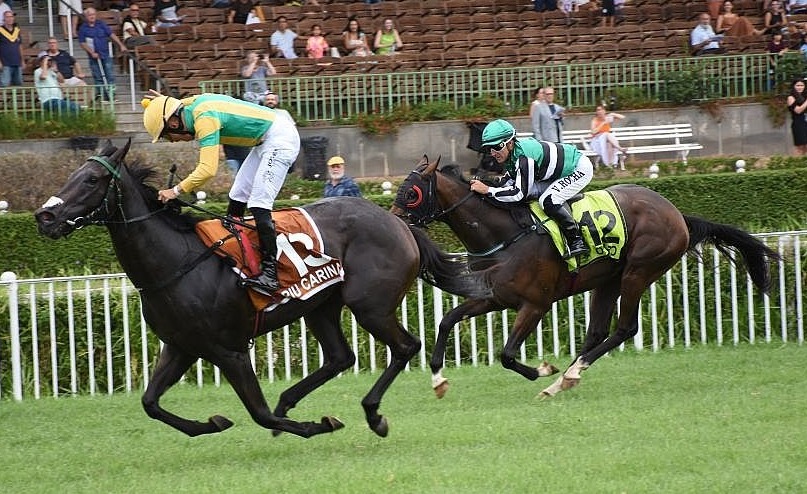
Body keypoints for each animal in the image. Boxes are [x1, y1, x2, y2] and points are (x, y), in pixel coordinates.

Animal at [34, 141, 490, 438]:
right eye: (72, 174)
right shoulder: (181, 346)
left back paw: (372, 414)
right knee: (340, 357)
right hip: (320, 305)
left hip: (369, 305)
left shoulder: (229, 351)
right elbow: (150, 403)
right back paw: (292, 397)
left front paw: (316, 425)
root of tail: (397, 220)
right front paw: (212, 423)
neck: (176, 262)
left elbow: (260, 414)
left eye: (92, 179)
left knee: (404, 347)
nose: (44, 216)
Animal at [392, 157, 784, 398]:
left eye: (411, 192)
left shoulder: (535, 304)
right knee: (596, 331)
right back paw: (565, 379)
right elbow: (447, 320)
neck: (506, 236)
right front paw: (439, 379)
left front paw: (543, 370)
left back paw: (566, 375)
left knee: (624, 328)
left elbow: (506, 354)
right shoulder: (495, 297)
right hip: (607, 280)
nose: (391, 221)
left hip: (639, 271)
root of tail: (677, 215)